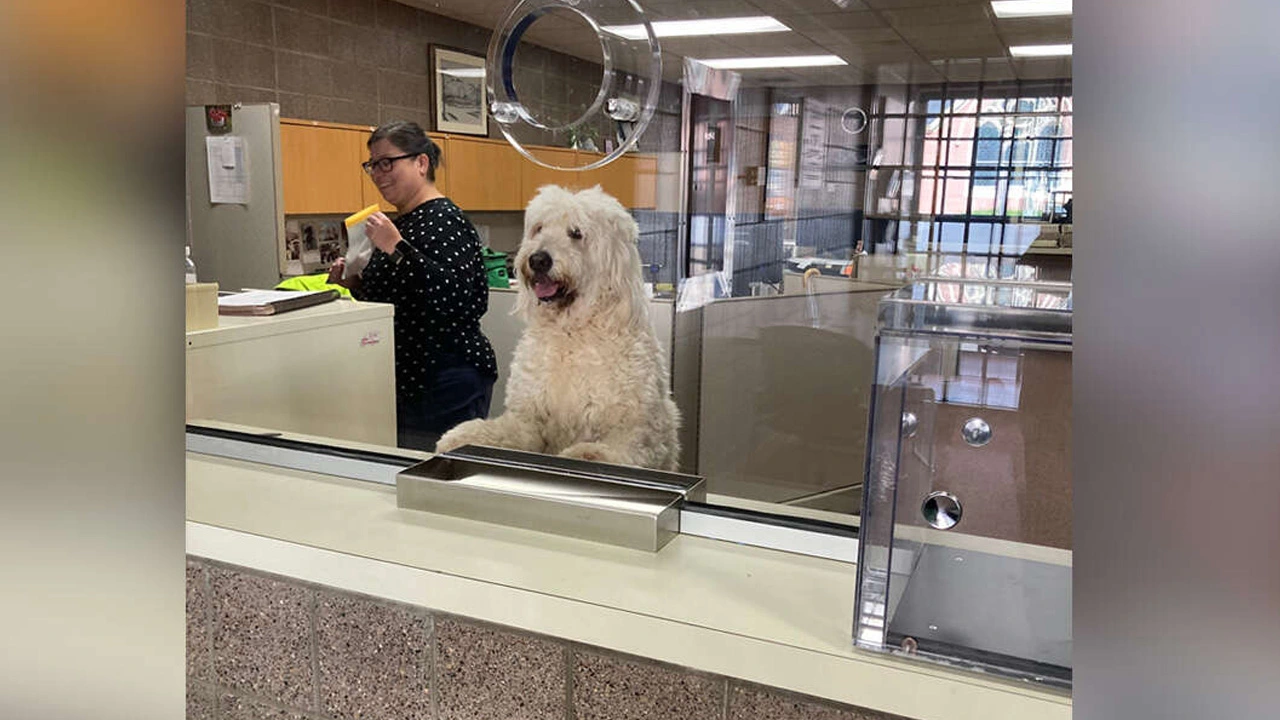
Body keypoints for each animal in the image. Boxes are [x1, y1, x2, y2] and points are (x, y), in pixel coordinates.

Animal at [435, 181, 680, 468]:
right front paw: (462, 436)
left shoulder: (636, 428)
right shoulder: (530, 417)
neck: (572, 332)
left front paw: (587, 454)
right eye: (539, 228)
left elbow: (621, 448)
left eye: (576, 233)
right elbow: (507, 431)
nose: (538, 260)